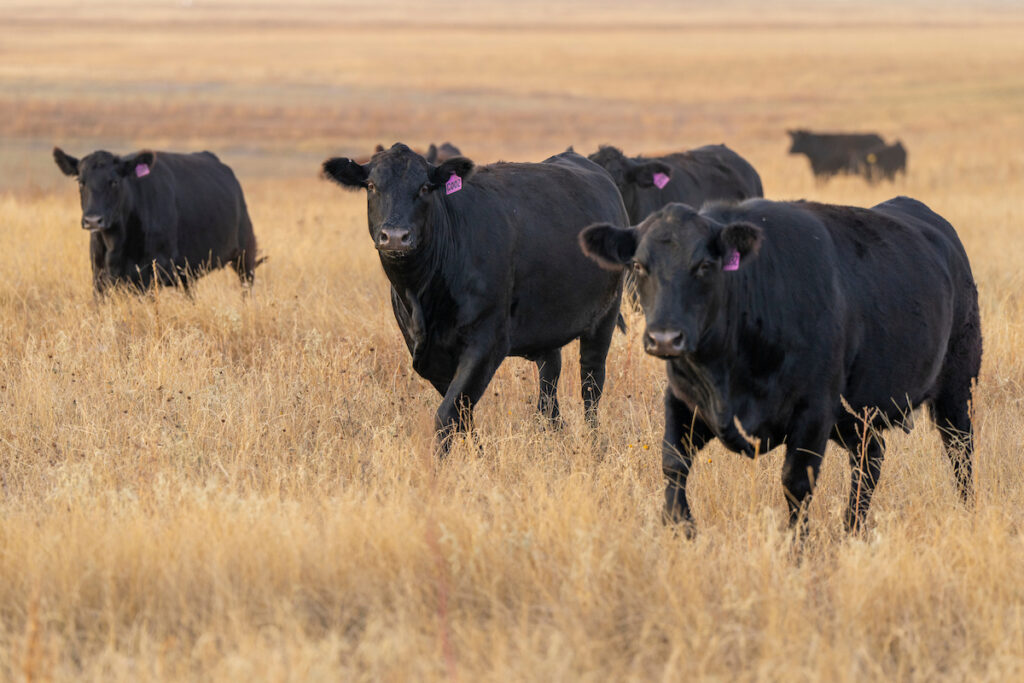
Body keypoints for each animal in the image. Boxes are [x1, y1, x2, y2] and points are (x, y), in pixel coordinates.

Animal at [52, 148, 262, 292]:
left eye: (114, 181)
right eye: (81, 182)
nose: (93, 220)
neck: (115, 244)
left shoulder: (151, 272)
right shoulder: (99, 273)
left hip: (246, 255)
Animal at [323, 144, 626, 450]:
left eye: (425, 188)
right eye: (372, 186)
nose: (395, 236)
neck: (422, 295)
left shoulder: (487, 341)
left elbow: (448, 413)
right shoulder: (427, 352)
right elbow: (463, 414)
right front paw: (478, 452)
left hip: (605, 316)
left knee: (591, 383)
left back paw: (594, 442)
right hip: (548, 323)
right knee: (549, 382)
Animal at [581, 194, 978, 532]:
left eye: (705, 265)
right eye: (637, 265)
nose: (664, 338)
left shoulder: (813, 412)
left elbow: (795, 484)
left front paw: (798, 550)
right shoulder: (682, 400)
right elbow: (672, 464)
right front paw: (682, 529)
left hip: (957, 387)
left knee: (961, 452)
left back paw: (967, 510)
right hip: (856, 415)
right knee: (871, 457)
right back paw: (852, 527)